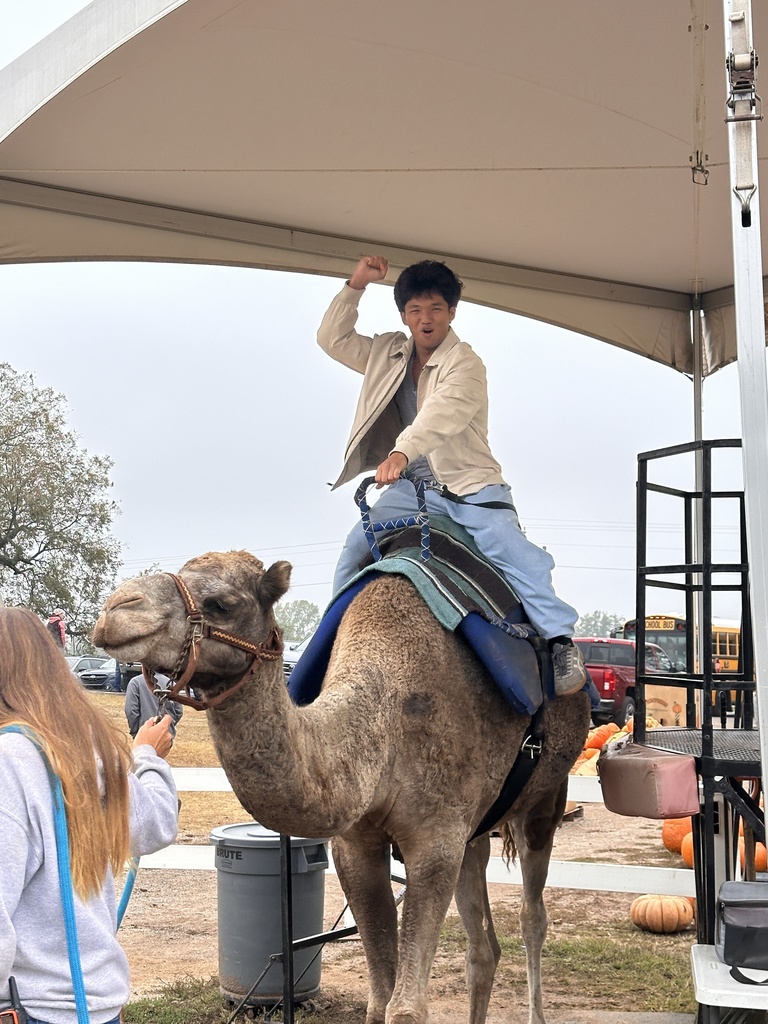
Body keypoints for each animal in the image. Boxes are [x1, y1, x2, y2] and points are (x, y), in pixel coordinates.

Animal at [93, 550, 590, 1024]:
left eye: (222, 603)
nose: (116, 611)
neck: (385, 718)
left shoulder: (435, 840)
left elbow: (405, 1008)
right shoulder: (357, 845)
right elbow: (379, 1002)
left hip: (543, 801)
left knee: (532, 915)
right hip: (475, 831)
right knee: (483, 948)